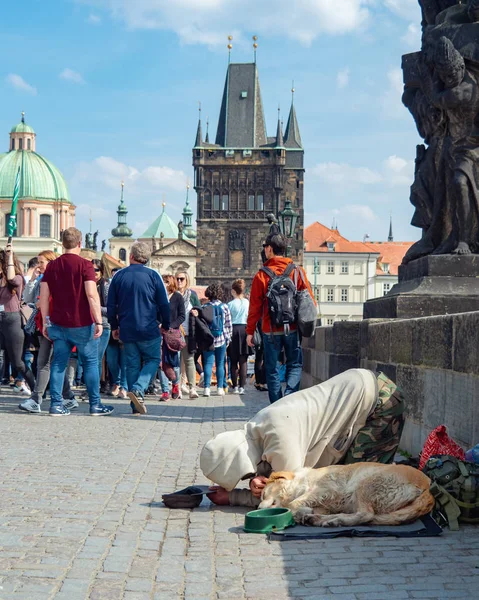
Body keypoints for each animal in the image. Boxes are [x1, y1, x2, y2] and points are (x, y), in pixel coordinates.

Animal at [258, 462, 436, 528]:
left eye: (263, 494)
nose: (258, 507)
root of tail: (428, 488)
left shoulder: (324, 489)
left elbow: (293, 504)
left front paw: (296, 512)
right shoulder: (324, 504)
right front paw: (305, 513)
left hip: (366, 484)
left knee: (366, 515)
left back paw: (334, 520)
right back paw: (321, 520)